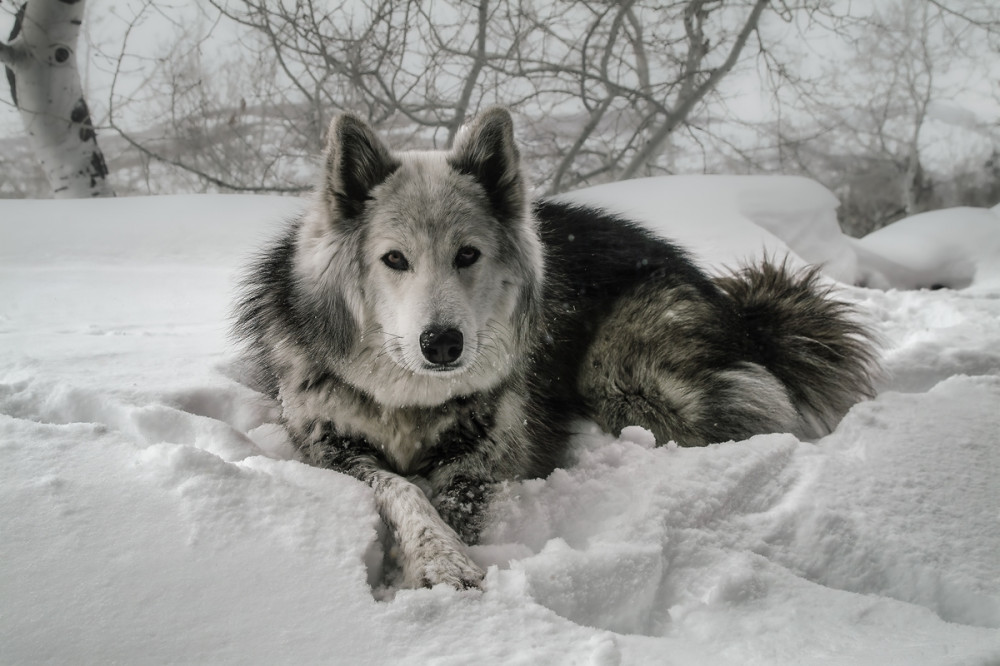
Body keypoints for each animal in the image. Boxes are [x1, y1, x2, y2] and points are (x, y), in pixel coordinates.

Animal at [232, 106, 876, 588]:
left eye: (468, 254)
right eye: (394, 259)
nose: (442, 344)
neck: (411, 399)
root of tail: (735, 306)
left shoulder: (486, 455)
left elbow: (453, 501)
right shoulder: (329, 449)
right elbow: (403, 490)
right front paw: (437, 561)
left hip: (628, 382)